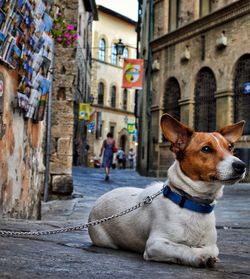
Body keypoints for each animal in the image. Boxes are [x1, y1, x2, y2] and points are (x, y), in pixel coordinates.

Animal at [88, 114, 246, 270]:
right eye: (206, 149)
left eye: (230, 147)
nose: (241, 165)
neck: (191, 203)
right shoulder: (155, 244)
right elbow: (182, 248)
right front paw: (199, 257)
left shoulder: (212, 245)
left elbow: (210, 249)